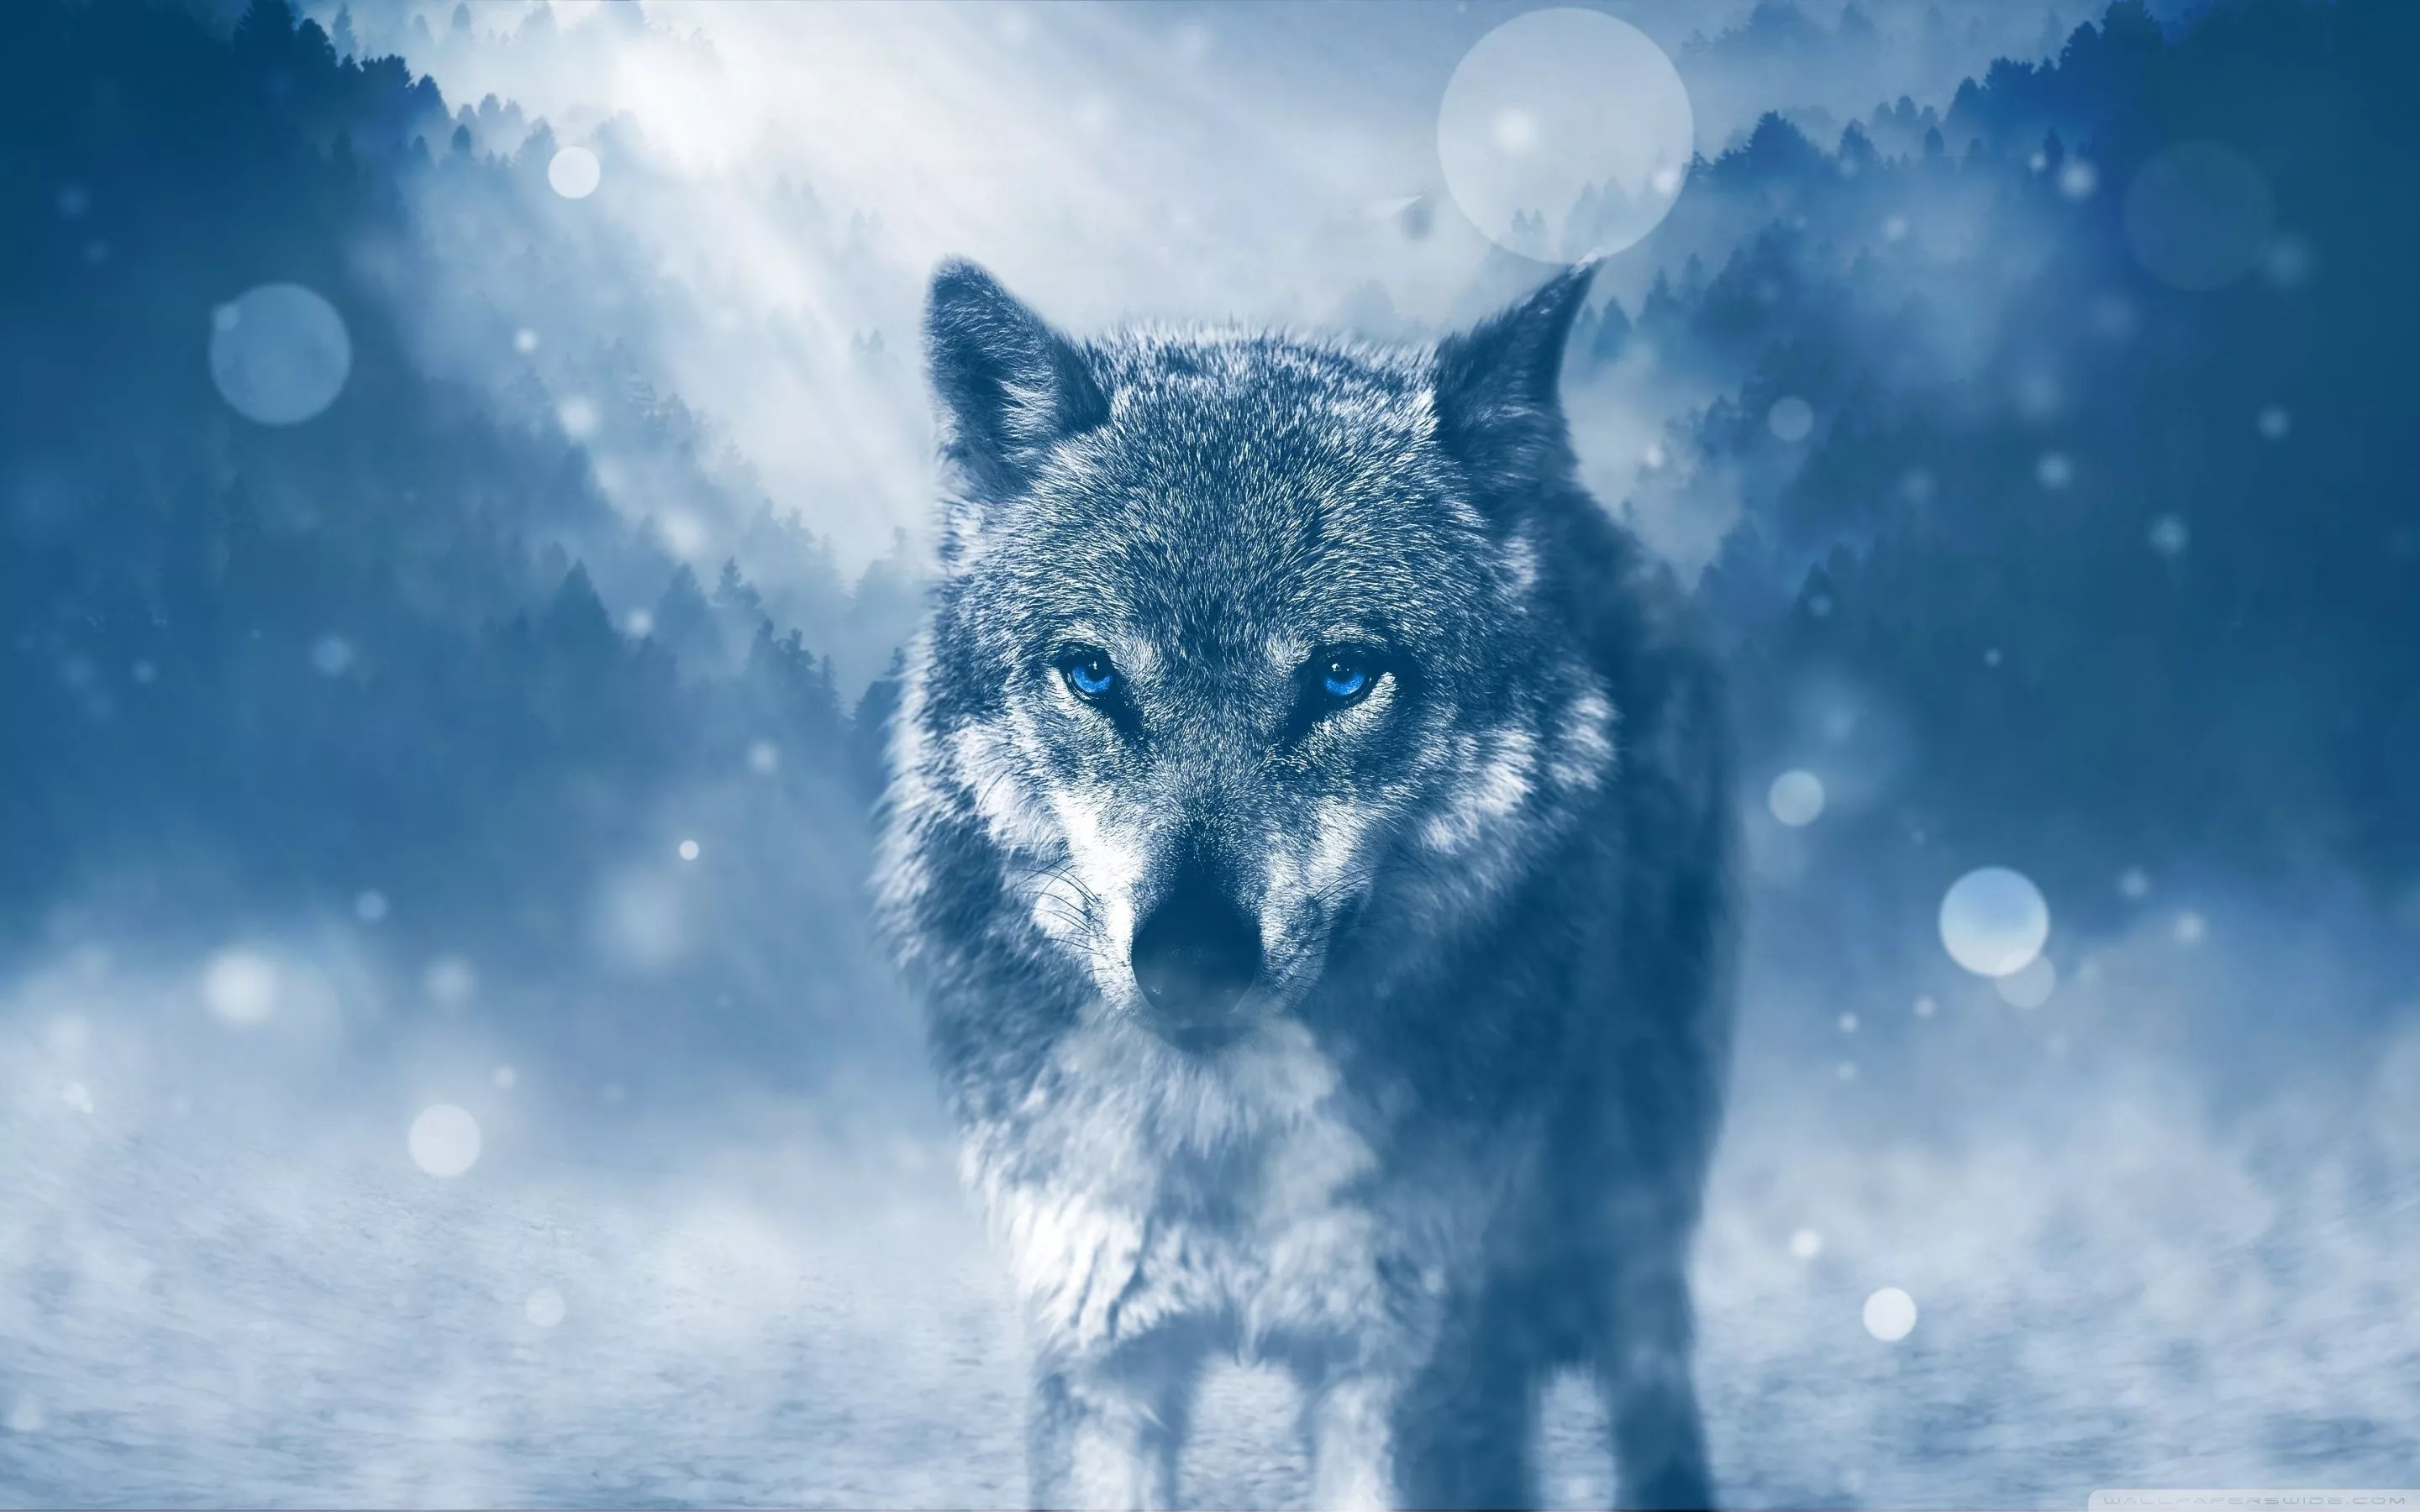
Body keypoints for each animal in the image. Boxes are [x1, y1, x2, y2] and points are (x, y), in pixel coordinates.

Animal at [874, 256, 1736, 1511]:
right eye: (1092, 674)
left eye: (1341, 676)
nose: (1190, 960)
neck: (1223, 1141)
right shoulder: (1101, 1355)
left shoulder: (1410, 1372)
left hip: (1630, 1192)